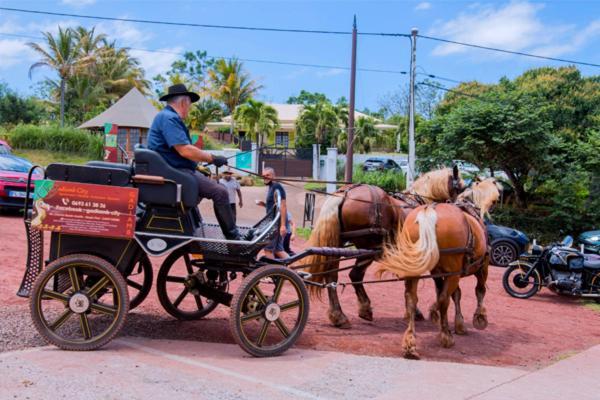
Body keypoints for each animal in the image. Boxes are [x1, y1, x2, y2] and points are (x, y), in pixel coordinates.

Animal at [298, 166, 464, 328]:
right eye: (460, 188)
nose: (459, 211)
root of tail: (345, 193)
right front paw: (416, 312)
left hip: (338, 244)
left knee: (332, 275)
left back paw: (338, 315)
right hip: (369, 248)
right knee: (355, 275)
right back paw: (362, 309)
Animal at [380, 177, 502, 358]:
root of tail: (429, 211)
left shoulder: (440, 273)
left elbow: (455, 294)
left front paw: (458, 323)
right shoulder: (482, 266)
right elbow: (478, 291)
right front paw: (479, 317)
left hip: (418, 269)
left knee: (412, 299)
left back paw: (410, 341)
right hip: (455, 272)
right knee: (444, 299)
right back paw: (444, 333)